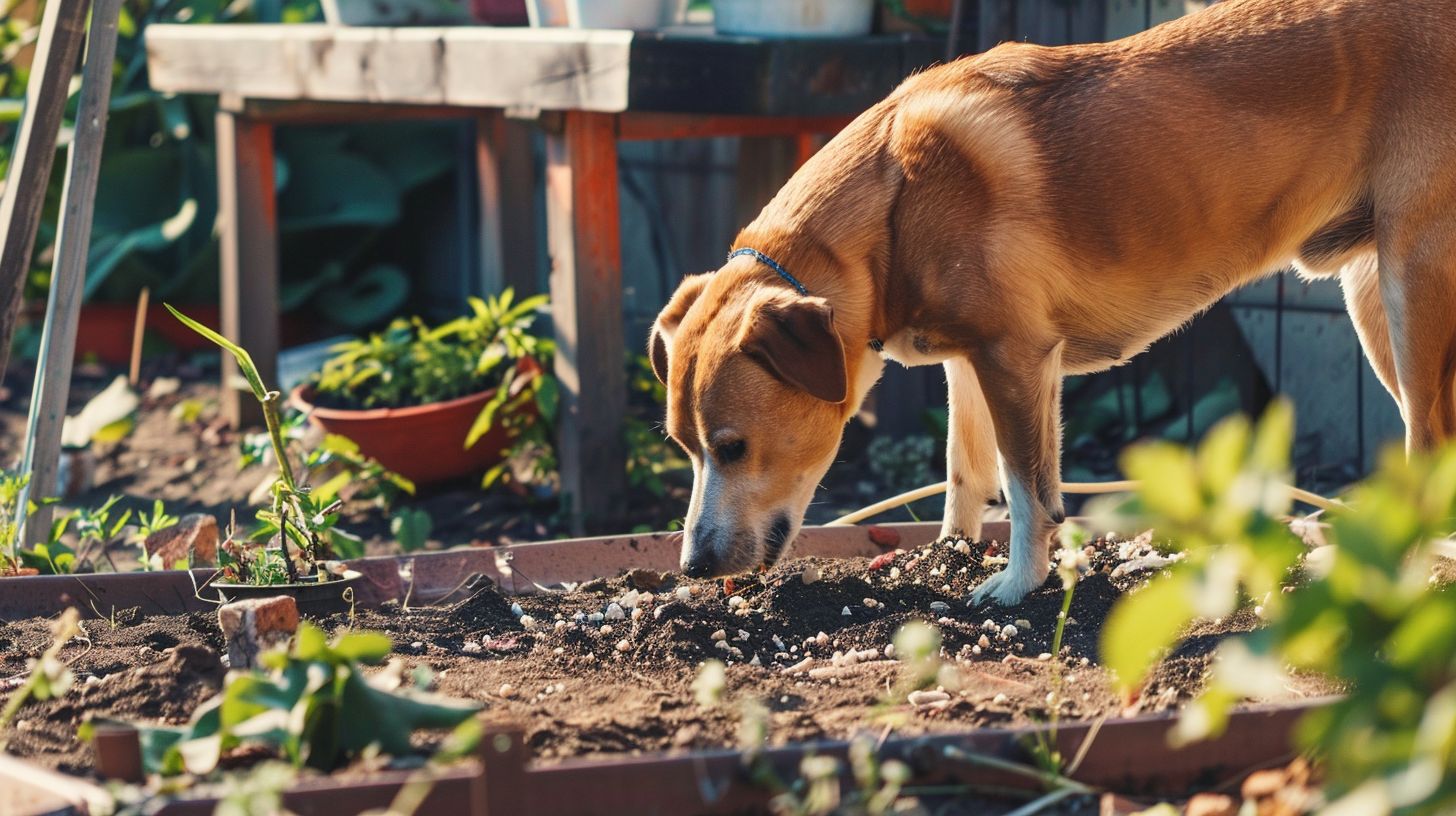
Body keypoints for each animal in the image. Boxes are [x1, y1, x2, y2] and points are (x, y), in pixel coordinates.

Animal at [652, 0, 1456, 603]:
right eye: (685, 449)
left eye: (733, 447)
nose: (692, 566)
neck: (890, 206)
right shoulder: (966, 364)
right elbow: (964, 474)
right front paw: (949, 556)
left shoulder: (1015, 362)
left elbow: (1027, 489)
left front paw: (1015, 587)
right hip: (1372, 304)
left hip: (1409, 296)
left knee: (1428, 446)